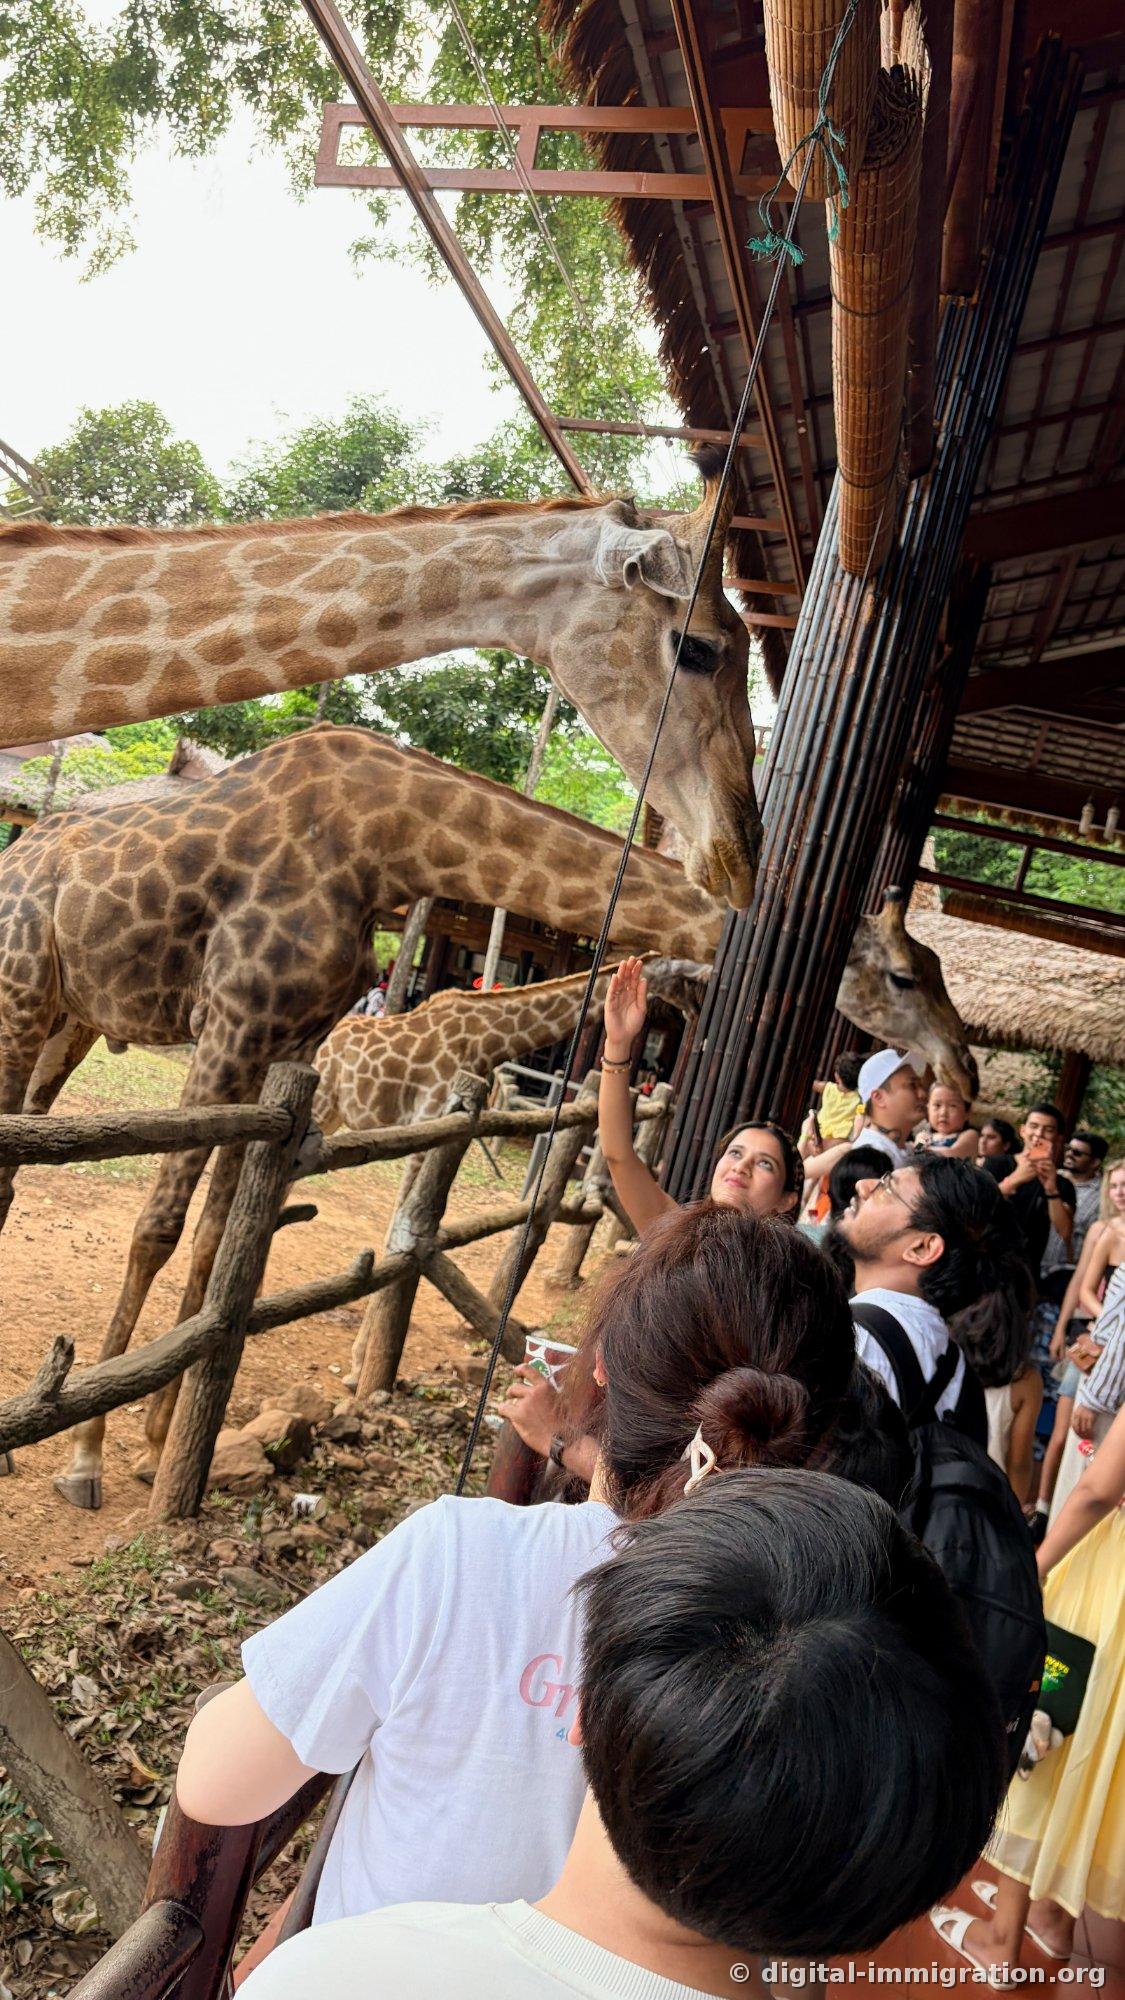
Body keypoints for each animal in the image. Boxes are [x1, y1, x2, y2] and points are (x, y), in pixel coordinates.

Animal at [0, 726, 721, 1508]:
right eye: (691, 977)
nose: (693, 1036)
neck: (391, 842)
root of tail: (20, 849)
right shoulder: (231, 1028)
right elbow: (160, 1229)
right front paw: (85, 1458)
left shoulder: (280, 1045)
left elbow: (217, 1239)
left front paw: (160, 1445)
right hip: (21, 989)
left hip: (73, 1014)